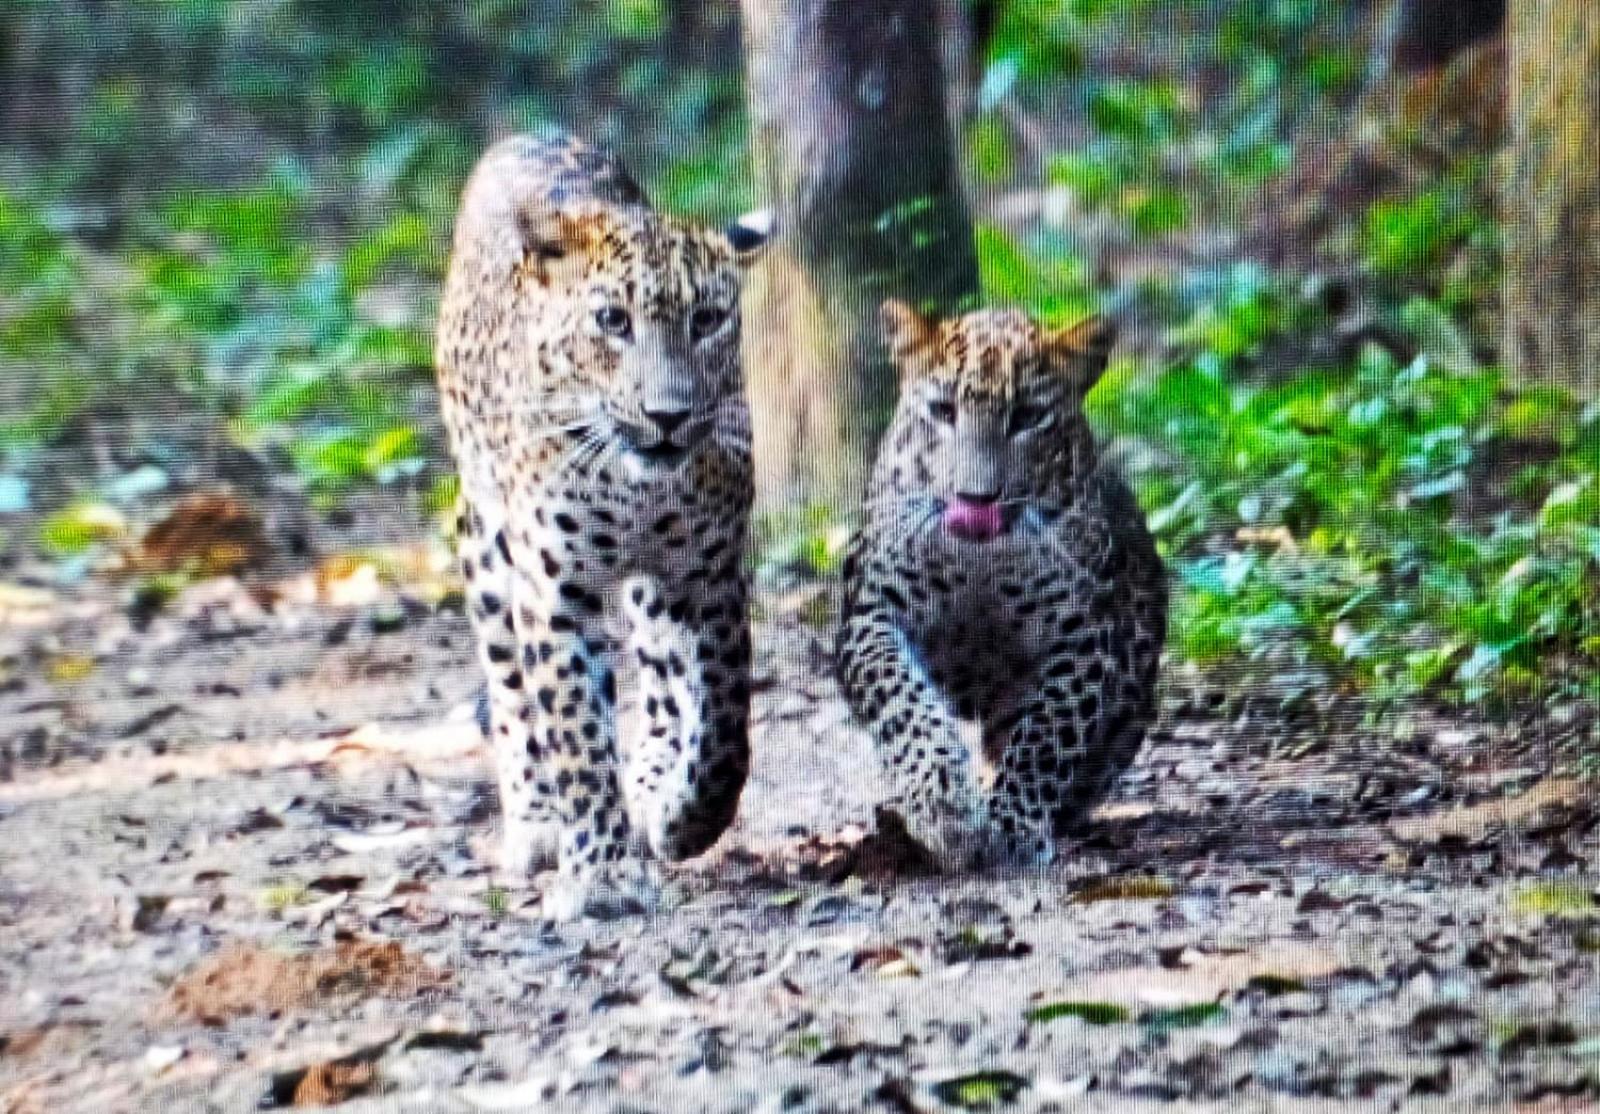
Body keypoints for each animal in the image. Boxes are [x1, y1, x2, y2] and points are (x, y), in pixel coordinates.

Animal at [432, 130, 768, 915]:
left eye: (708, 321)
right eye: (613, 321)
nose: (669, 415)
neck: (630, 484)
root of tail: (531, 133)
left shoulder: (707, 577)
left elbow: (722, 722)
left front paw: (684, 818)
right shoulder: (551, 594)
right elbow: (576, 735)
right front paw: (603, 872)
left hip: (651, 592)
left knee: (662, 680)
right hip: (484, 549)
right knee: (512, 693)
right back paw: (535, 825)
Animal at [838, 302, 1164, 870]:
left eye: (1029, 417)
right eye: (943, 411)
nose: (976, 498)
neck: (981, 563)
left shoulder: (1084, 636)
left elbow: (1046, 732)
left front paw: (1013, 825)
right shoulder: (872, 611)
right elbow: (903, 702)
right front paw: (944, 808)